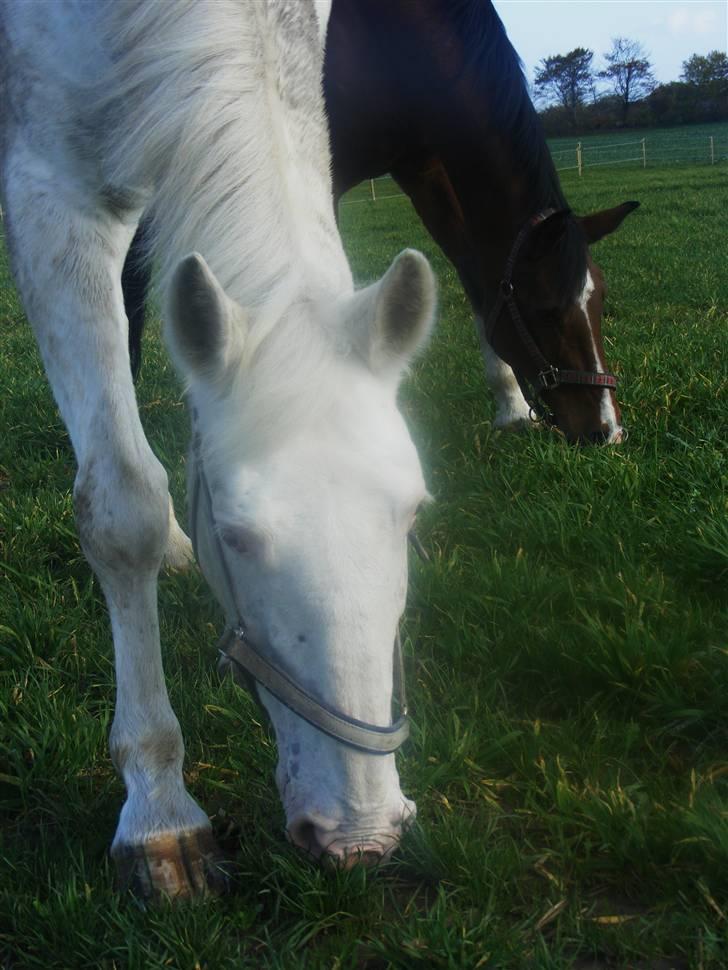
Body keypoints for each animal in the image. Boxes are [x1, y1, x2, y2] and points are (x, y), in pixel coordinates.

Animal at [1, 0, 438, 892]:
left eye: (411, 516)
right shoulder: (47, 190)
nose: (360, 836)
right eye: (235, 537)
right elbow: (121, 508)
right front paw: (160, 812)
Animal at [125, 0, 636, 442]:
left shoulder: (426, 170)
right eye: (545, 310)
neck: (388, 35)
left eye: (601, 300)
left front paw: (510, 407)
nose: (605, 430)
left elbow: (473, 273)